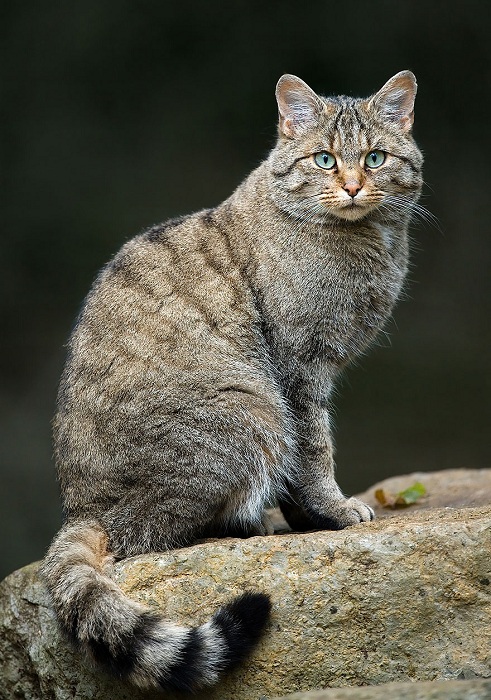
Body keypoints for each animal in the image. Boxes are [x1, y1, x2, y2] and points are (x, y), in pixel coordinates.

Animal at [41, 68, 422, 692]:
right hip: (253, 414)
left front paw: (309, 518)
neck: (364, 243)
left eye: (375, 157)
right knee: (151, 534)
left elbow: (302, 468)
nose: (350, 186)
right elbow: (313, 451)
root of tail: (82, 511)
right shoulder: (297, 370)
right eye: (323, 158)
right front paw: (333, 511)